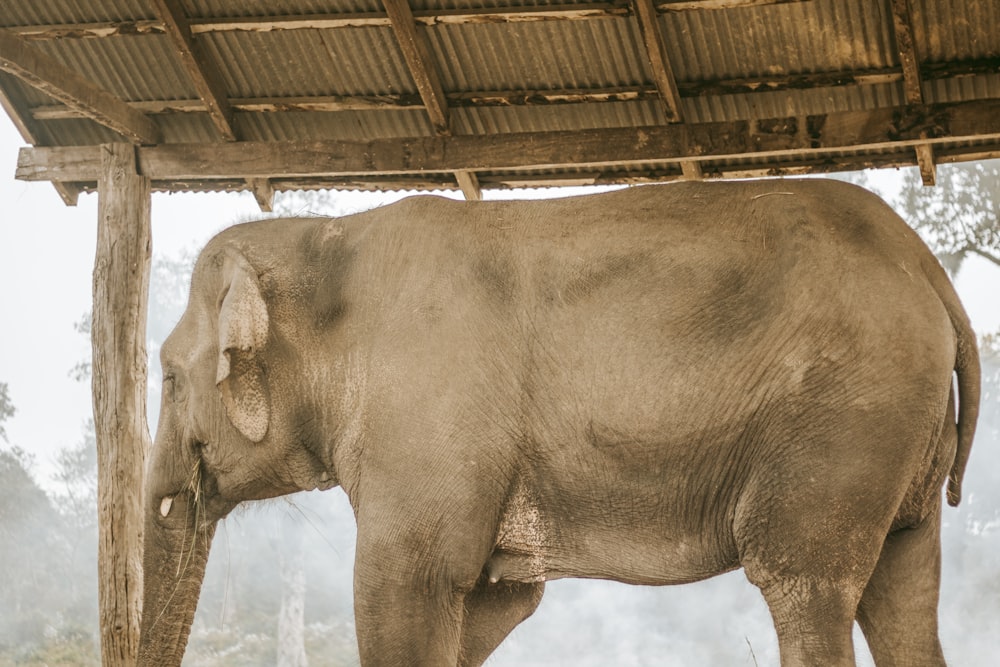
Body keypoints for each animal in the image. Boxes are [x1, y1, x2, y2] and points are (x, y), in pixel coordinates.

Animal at [137, 181, 980, 667]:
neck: (329, 234)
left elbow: (400, 587)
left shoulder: (427, 417)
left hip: (843, 420)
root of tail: (928, 268)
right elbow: (492, 603)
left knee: (804, 584)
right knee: (903, 593)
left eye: (170, 377)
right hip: (899, 439)